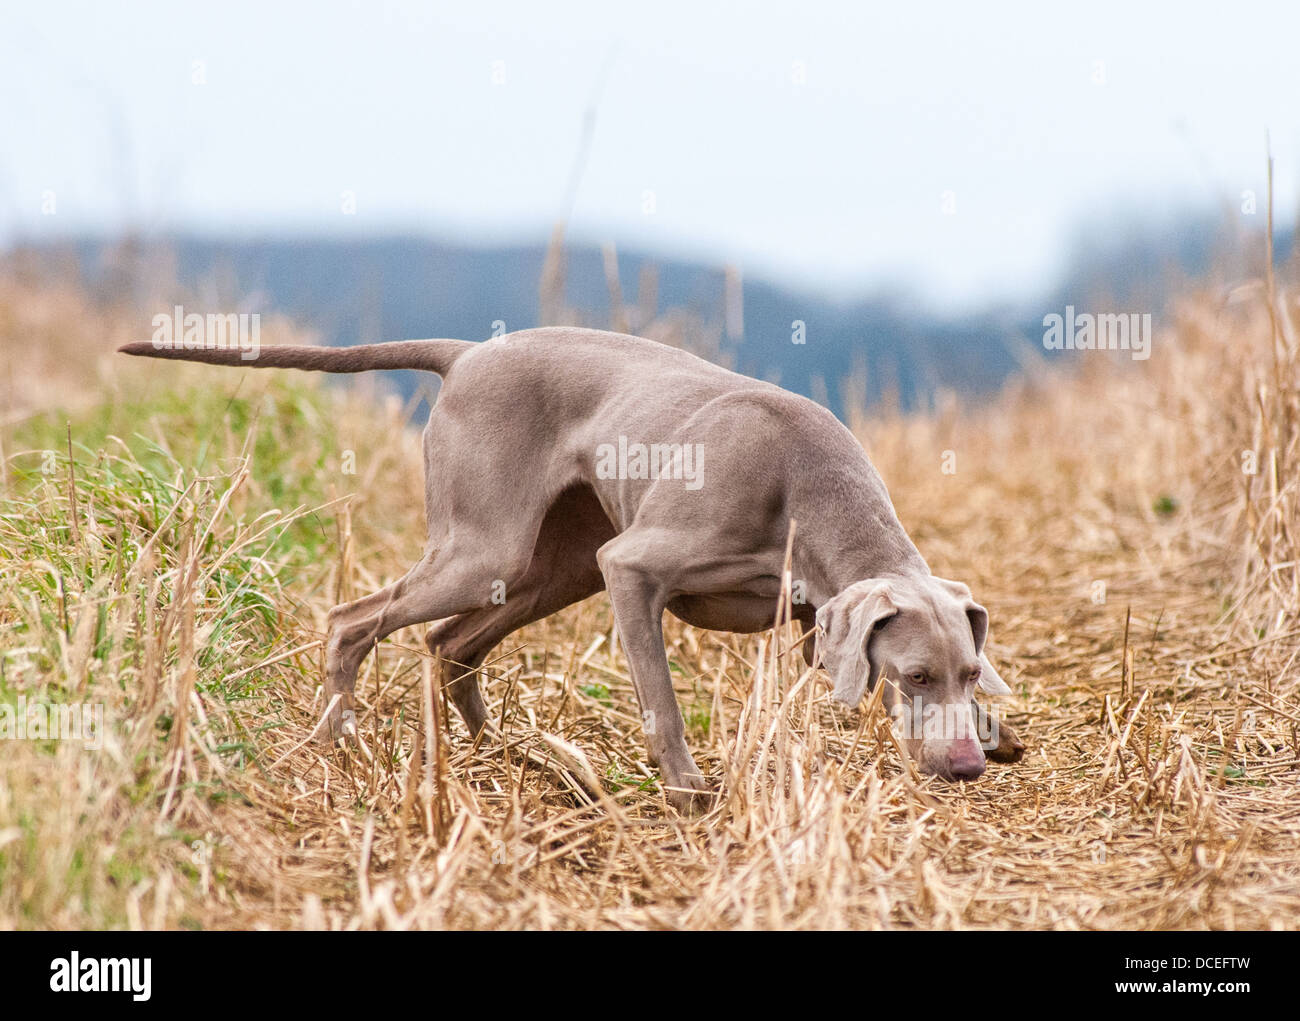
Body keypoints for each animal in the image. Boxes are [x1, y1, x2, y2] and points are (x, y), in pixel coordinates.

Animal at [122, 325, 1019, 806]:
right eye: (913, 676)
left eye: (968, 672)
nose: (965, 768)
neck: (808, 484)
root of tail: (466, 356)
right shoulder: (634, 567)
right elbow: (661, 699)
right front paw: (688, 789)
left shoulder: (807, 615)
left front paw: (998, 730)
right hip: (493, 547)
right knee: (355, 621)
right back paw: (337, 739)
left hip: (553, 565)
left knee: (451, 645)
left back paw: (511, 755)